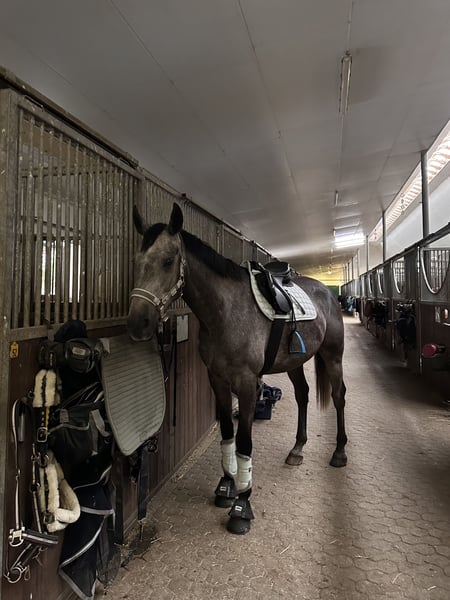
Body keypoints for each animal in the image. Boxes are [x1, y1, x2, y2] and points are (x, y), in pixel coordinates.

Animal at [127, 203, 348, 535]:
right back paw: (297, 449)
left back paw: (339, 452)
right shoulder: (216, 379)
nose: (137, 323)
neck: (225, 312)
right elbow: (227, 434)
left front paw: (242, 506)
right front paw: (226, 486)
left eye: (167, 261)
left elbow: (244, 440)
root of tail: (326, 292)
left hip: (333, 357)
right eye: (137, 261)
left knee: (338, 396)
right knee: (303, 395)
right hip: (294, 362)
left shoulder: (245, 383)